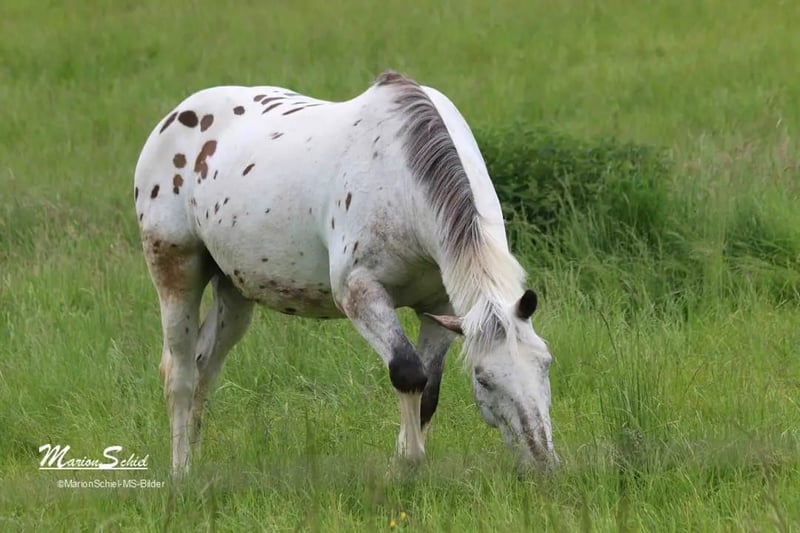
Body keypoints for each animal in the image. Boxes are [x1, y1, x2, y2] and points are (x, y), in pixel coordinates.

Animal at [134, 70, 557, 476]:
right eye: (483, 378)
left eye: (546, 363)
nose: (543, 463)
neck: (402, 183)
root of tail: (174, 118)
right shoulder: (360, 293)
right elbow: (408, 372)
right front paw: (409, 464)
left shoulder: (440, 309)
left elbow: (429, 392)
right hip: (175, 271)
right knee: (181, 374)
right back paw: (182, 472)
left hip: (235, 294)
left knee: (205, 367)